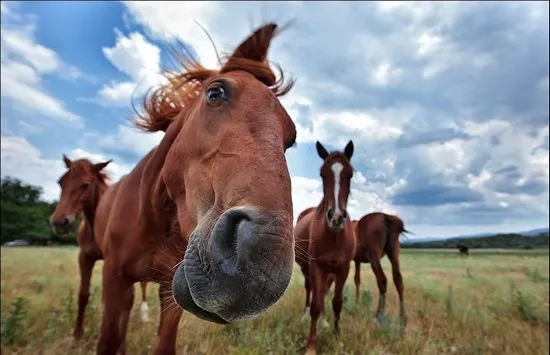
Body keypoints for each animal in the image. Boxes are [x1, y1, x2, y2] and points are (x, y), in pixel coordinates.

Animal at [49, 157, 151, 344]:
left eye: (85, 184)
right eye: (61, 182)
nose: (59, 222)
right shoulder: (85, 258)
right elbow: (83, 295)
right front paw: (77, 335)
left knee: (143, 285)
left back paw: (144, 315)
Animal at [93, 23, 300, 355]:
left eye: (290, 138)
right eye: (215, 92)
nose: (262, 265)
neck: (154, 218)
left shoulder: (168, 292)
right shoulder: (114, 280)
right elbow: (109, 340)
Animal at [298, 140, 358, 354]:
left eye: (350, 174)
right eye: (322, 174)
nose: (337, 217)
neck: (333, 235)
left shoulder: (343, 268)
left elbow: (337, 303)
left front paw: (337, 339)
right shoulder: (315, 266)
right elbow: (316, 303)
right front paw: (311, 345)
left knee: (323, 291)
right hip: (307, 268)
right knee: (310, 290)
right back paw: (305, 314)